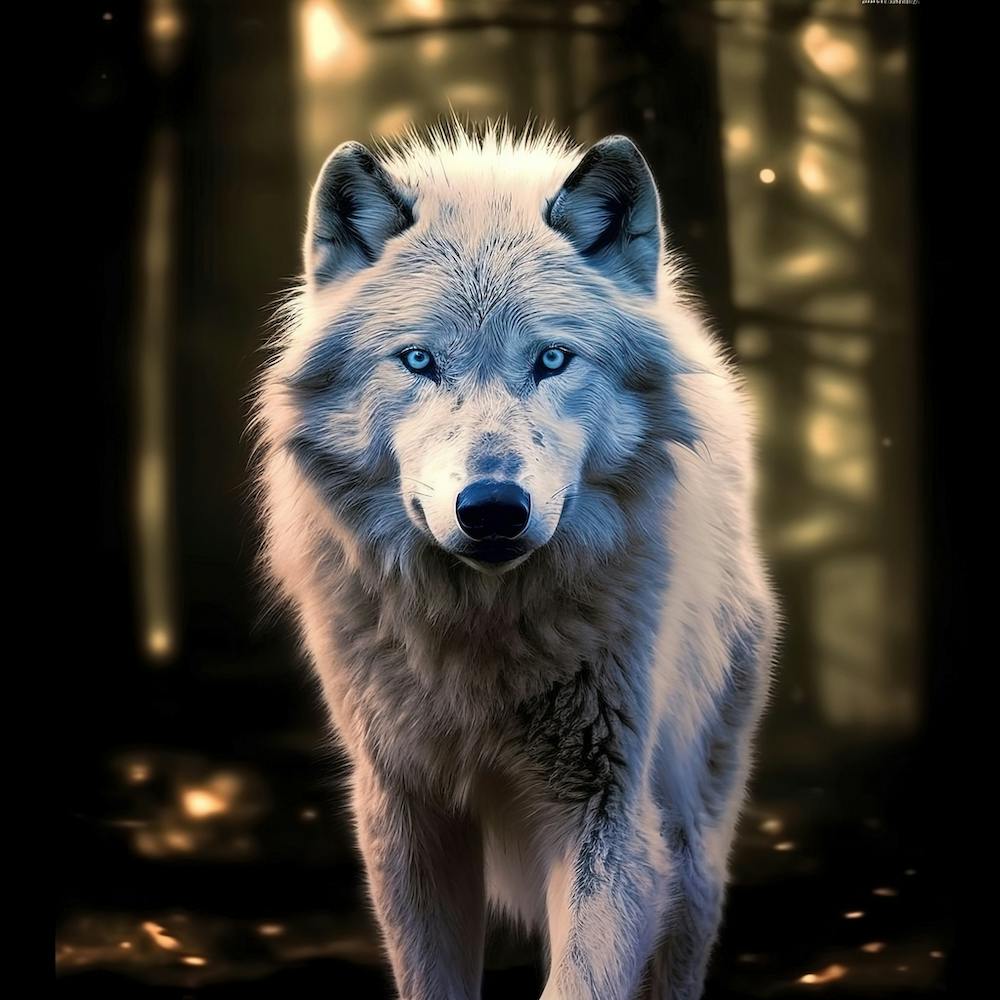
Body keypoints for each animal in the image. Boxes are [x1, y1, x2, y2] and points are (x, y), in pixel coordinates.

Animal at [253, 124, 778, 1000]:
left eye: (553, 360)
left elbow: (583, 979)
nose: (494, 507)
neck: (483, 641)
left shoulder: (607, 811)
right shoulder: (406, 813)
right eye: (419, 361)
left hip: (692, 833)